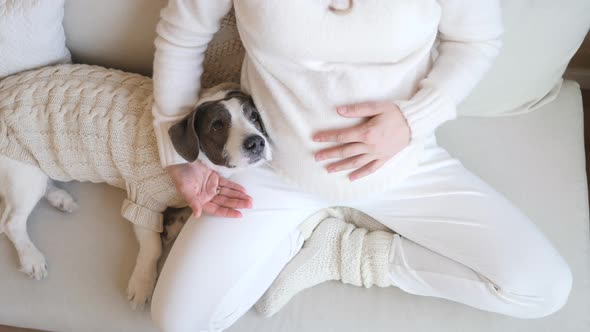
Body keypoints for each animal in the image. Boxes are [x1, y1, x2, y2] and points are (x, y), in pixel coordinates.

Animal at [0, 79, 272, 310]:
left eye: (254, 116)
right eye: (217, 126)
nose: (257, 142)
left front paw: (174, 224)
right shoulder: (141, 200)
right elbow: (152, 247)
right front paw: (142, 283)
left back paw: (60, 199)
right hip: (24, 175)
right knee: (11, 222)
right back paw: (31, 257)